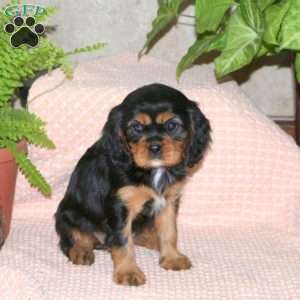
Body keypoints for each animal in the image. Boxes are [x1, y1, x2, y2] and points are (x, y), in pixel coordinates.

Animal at [56, 83, 211, 284]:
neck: (151, 170)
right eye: (136, 127)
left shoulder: (168, 201)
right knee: (72, 238)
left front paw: (172, 258)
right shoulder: (120, 206)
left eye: (172, 125)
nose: (154, 147)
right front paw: (128, 272)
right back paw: (81, 250)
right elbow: (123, 241)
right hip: (67, 214)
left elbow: (170, 231)